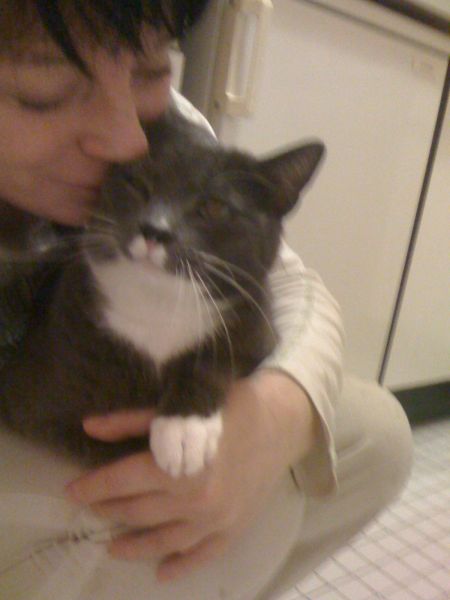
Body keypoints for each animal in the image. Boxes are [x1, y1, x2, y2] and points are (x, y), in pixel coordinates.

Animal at [0, 107, 324, 477]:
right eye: (137, 183)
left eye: (214, 206)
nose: (155, 230)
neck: (158, 304)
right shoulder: (30, 402)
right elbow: (106, 447)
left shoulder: (257, 326)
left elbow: (218, 357)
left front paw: (183, 429)